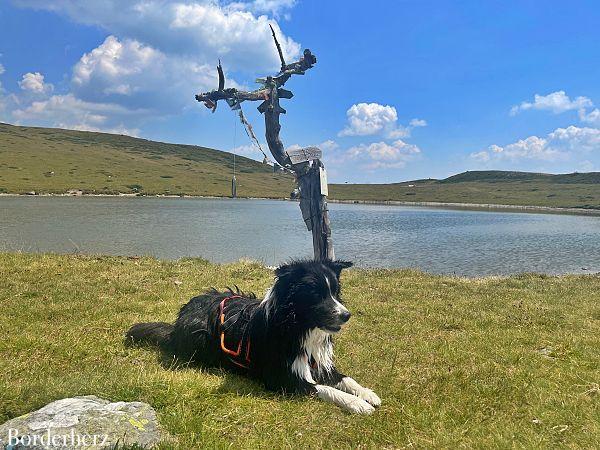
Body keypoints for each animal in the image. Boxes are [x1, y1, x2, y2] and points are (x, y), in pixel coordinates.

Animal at [126, 258, 380, 414]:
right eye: (317, 295)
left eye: (335, 293)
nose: (346, 315)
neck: (297, 327)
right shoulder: (284, 378)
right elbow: (326, 389)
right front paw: (357, 404)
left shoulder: (319, 363)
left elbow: (345, 379)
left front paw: (368, 394)